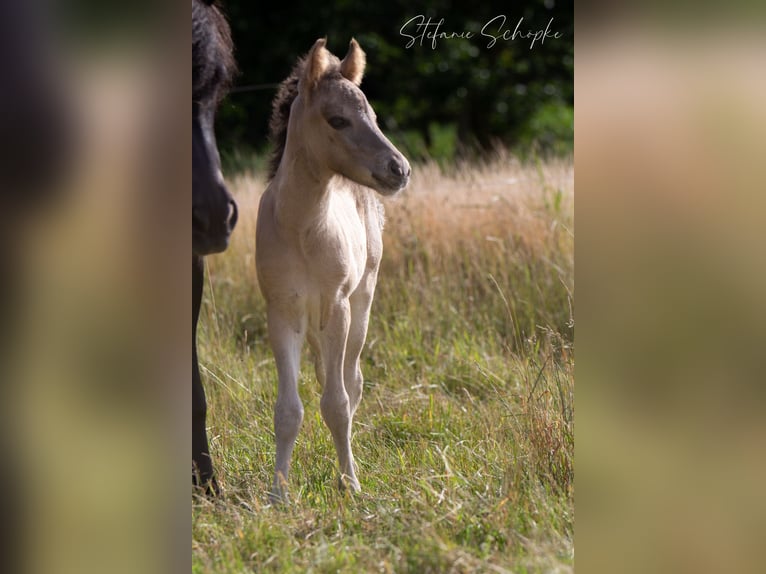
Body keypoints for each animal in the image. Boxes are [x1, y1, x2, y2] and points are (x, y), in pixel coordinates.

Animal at [256, 38, 411, 500]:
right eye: (337, 120)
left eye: (373, 116)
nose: (399, 169)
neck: (303, 228)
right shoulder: (282, 312)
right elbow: (288, 409)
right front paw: (278, 493)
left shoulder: (337, 306)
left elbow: (338, 402)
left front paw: (351, 483)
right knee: (328, 375)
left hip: (361, 303)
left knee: (350, 381)